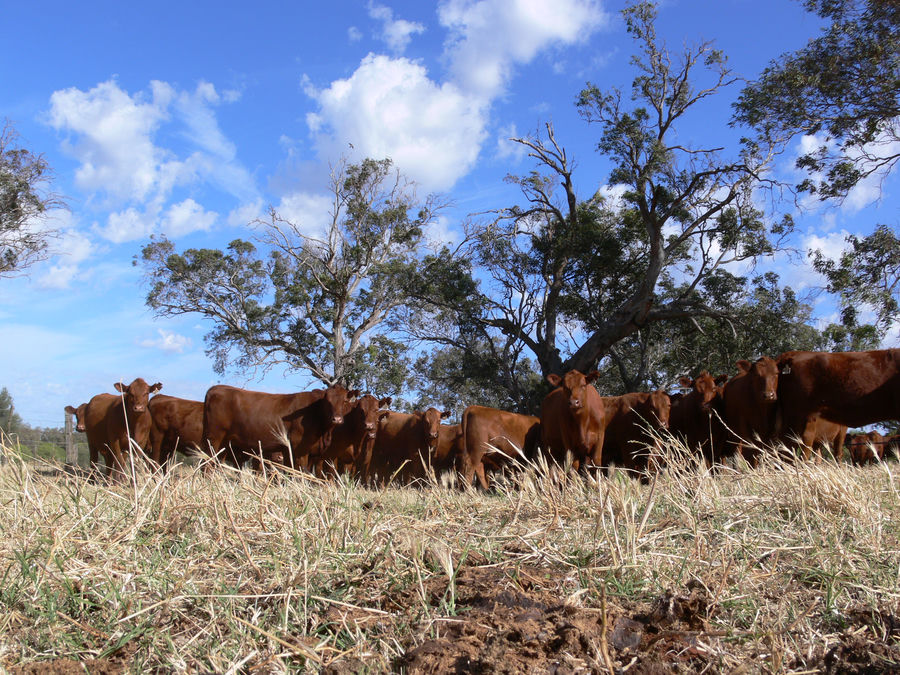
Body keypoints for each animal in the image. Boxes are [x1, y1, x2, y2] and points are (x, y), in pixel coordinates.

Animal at [202, 384, 358, 472]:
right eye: (327, 402)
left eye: (345, 401)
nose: (337, 419)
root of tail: (216, 388)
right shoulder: (300, 451)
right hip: (214, 439)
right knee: (207, 463)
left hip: (224, 444)